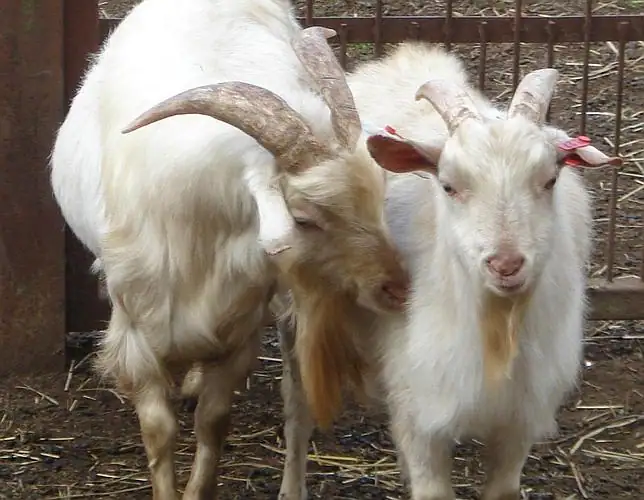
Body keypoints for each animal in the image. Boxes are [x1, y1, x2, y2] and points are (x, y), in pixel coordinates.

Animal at [51, 1, 412, 498]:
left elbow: (213, 421)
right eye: (304, 218)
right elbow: (158, 431)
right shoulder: (135, 328)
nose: (397, 289)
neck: (203, 231)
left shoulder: (240, 327)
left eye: (378, 197)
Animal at [276, 43, 620, 500]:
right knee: (297, 406)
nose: (505, 264)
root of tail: (402, 55)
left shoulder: (519, 420)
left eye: (549, 180)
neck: (496, 326)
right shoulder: (421, 409)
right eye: (448, 185)